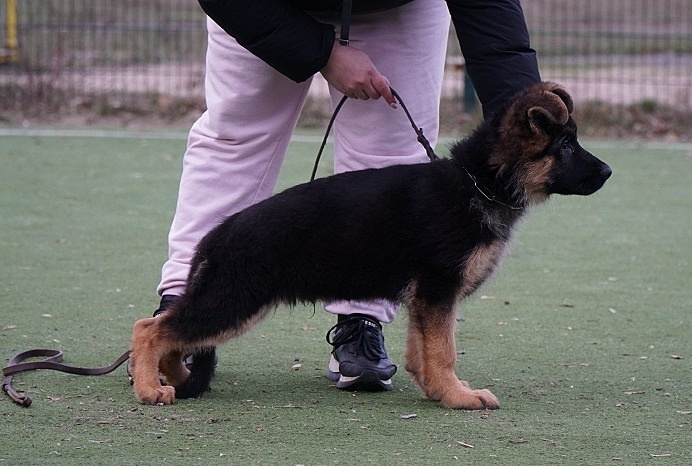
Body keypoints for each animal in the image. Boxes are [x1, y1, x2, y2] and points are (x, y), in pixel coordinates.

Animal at [129, 82, 611, 409]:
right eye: (566, 145)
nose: (608, 172)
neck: (477, 181)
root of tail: (218, 234)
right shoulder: (438, 290)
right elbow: (444, 350)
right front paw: (459, 396)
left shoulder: (427, 299)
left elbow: (424, 350)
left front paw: (437, 391)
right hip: (234, 299)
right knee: (151, 329)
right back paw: (150, 388)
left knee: (166, 330)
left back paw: (171, 377)